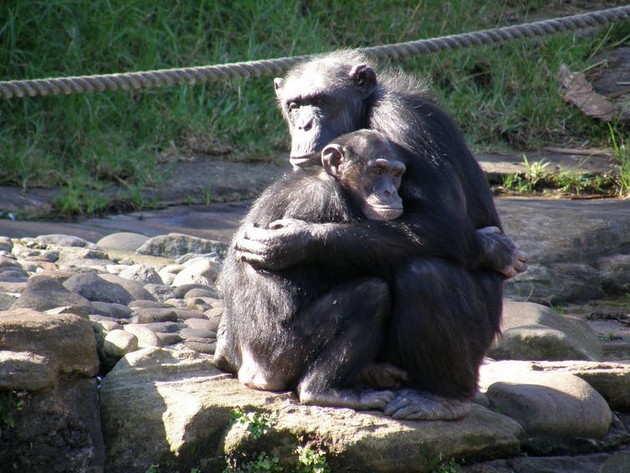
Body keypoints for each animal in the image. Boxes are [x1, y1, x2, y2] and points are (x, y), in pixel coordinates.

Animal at [217, 129, 414, 410]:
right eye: (377, 171)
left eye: (396, 174)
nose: (390, 191)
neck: (333, 180)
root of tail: (252, 375)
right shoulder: (324, 200)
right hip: (283, 356)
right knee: (372, 294)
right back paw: (324, 391)